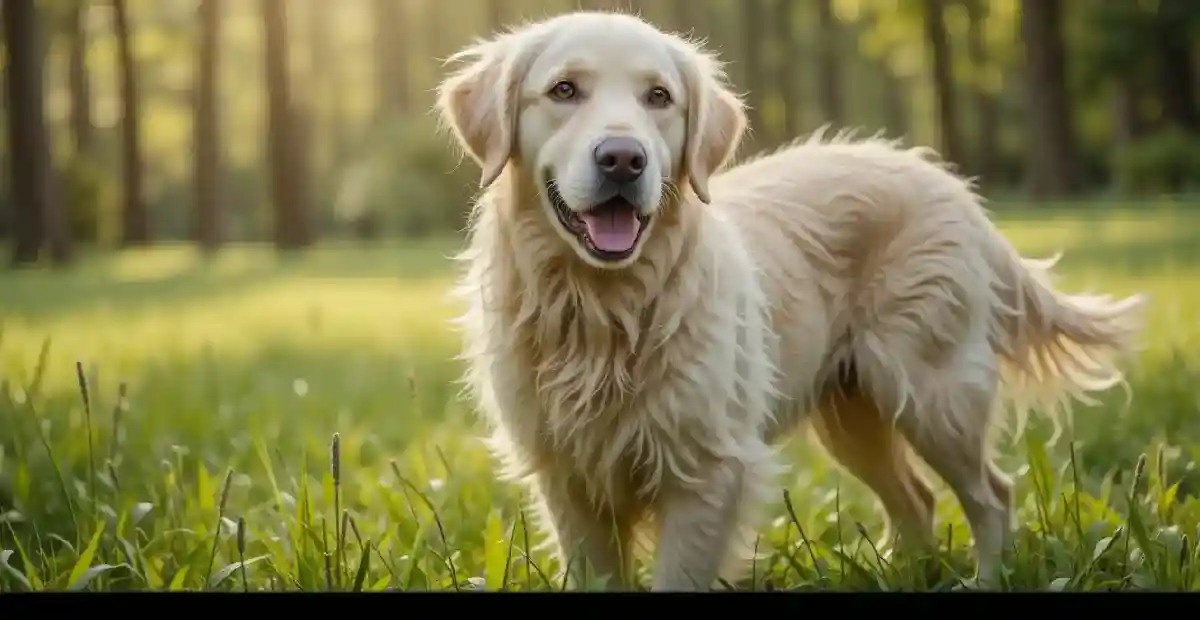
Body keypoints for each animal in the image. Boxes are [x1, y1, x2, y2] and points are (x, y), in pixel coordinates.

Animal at [436, 9, 1147, 590]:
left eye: (658, 97)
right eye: (563, 90)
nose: (622, 159)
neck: (602, 307)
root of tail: (954, 187)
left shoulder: (708, 472)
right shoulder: (568, 480)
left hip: (930, 391)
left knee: (992, 494)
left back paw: (985, 578)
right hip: (852, 411)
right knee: (916, 500)